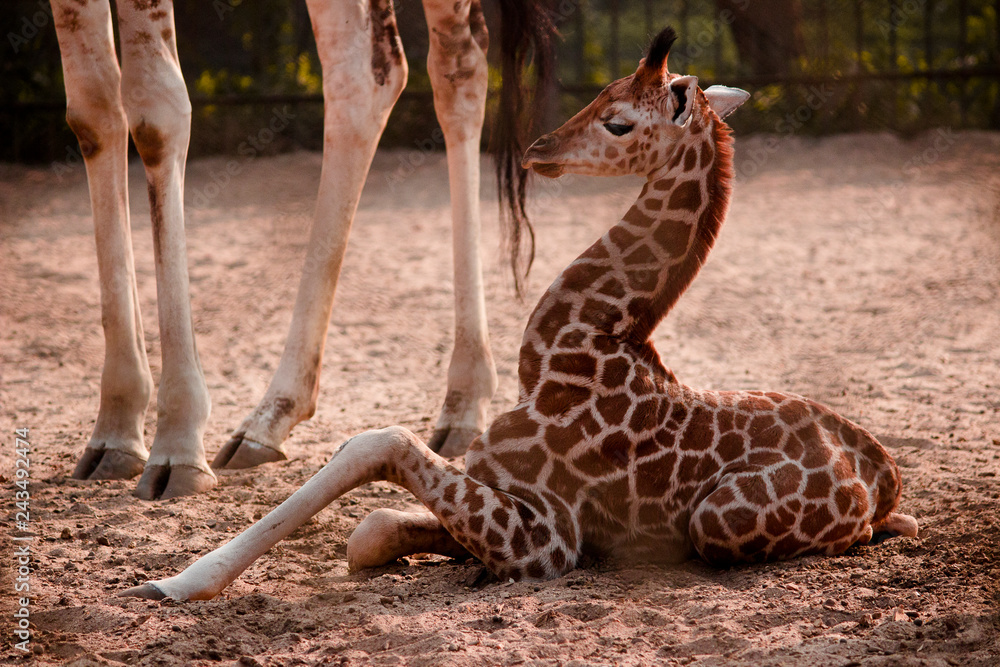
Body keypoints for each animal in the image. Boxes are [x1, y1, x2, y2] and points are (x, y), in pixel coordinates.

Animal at [50, 0, 553, 500]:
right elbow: (93, 108)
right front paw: (115, 430)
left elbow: (154, 112)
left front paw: (177, 441)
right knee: (407, 66)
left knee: (432, 67)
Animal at [121, 27, 918, 601]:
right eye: (602, 97)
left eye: (618, 122)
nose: (539, 149)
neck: (579, 345)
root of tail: (883, 473)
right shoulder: (509, 496)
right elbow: (368, 529)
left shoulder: (548, 538)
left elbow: (378, 442)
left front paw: (177, 581)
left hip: (720, 519)